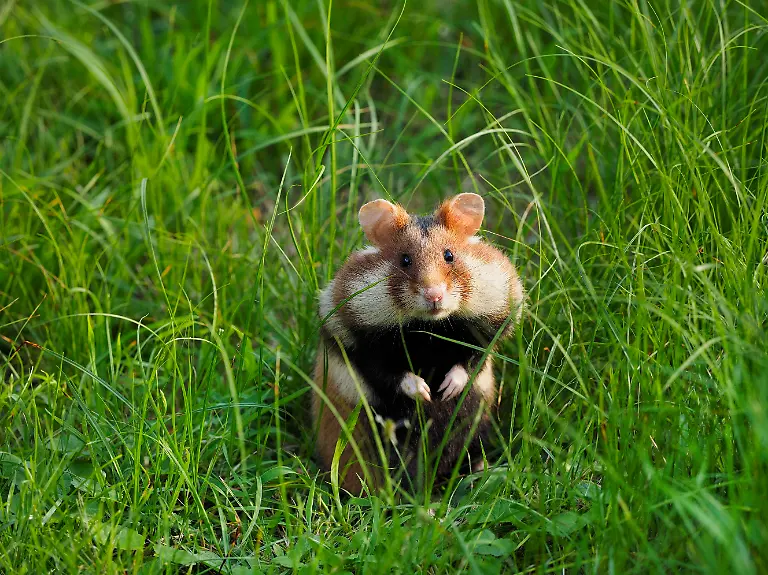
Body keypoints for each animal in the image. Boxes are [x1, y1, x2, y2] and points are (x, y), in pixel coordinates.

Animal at [312, 193, 524, 494]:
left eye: (449, 255)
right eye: (405, 260)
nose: (434, 296)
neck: (430, 328)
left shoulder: (493, 326)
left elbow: (472, 359)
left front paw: (446, 390)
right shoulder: (358, 339)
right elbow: (387, 372)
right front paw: (424, 392)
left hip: (477, 427)